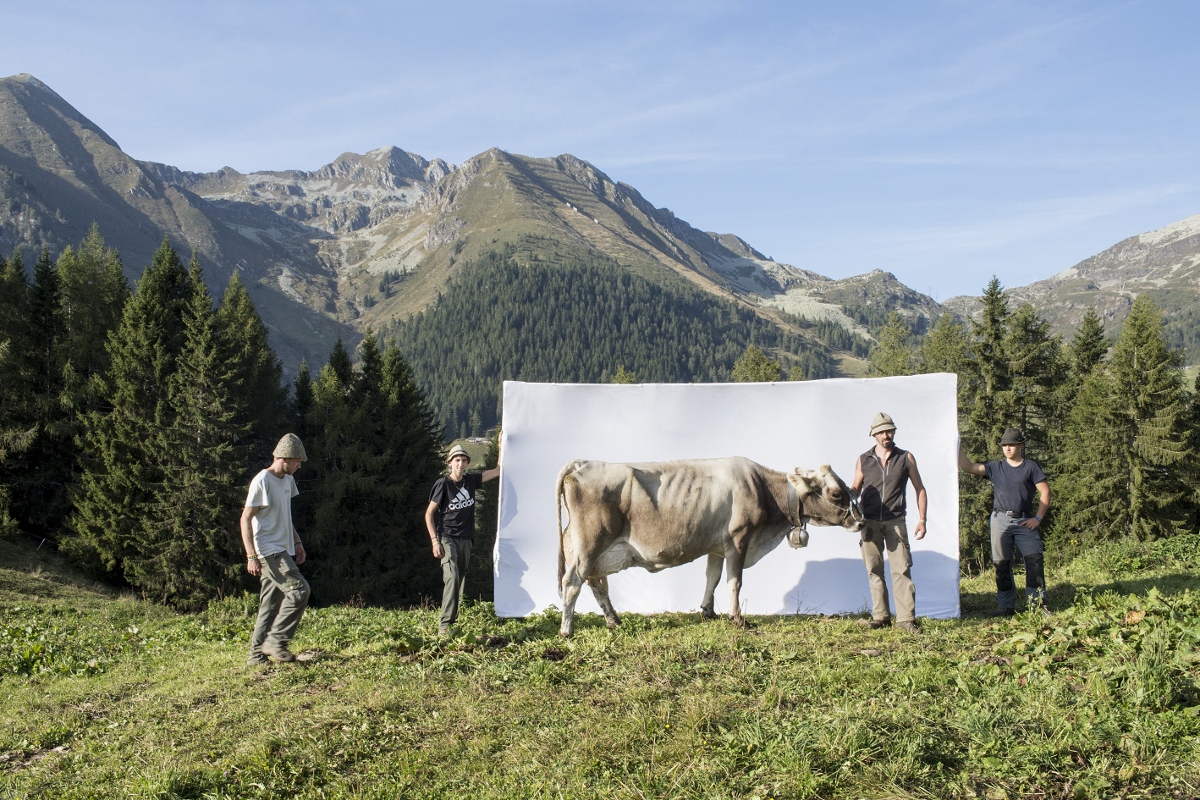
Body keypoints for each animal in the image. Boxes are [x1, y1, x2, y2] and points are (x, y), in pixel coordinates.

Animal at [552, 455, 864, 638]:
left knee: (596, 583)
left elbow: (712, 577)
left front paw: (707, 611)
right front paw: (738, 620)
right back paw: (567, 631)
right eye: (836, 493)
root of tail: (582, 463)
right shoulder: (739, 538)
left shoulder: (717, 546)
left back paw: (614, 621)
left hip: (592, 549)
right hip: (590, 542)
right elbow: (734, 581)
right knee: (572, 582)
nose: (860, 521)